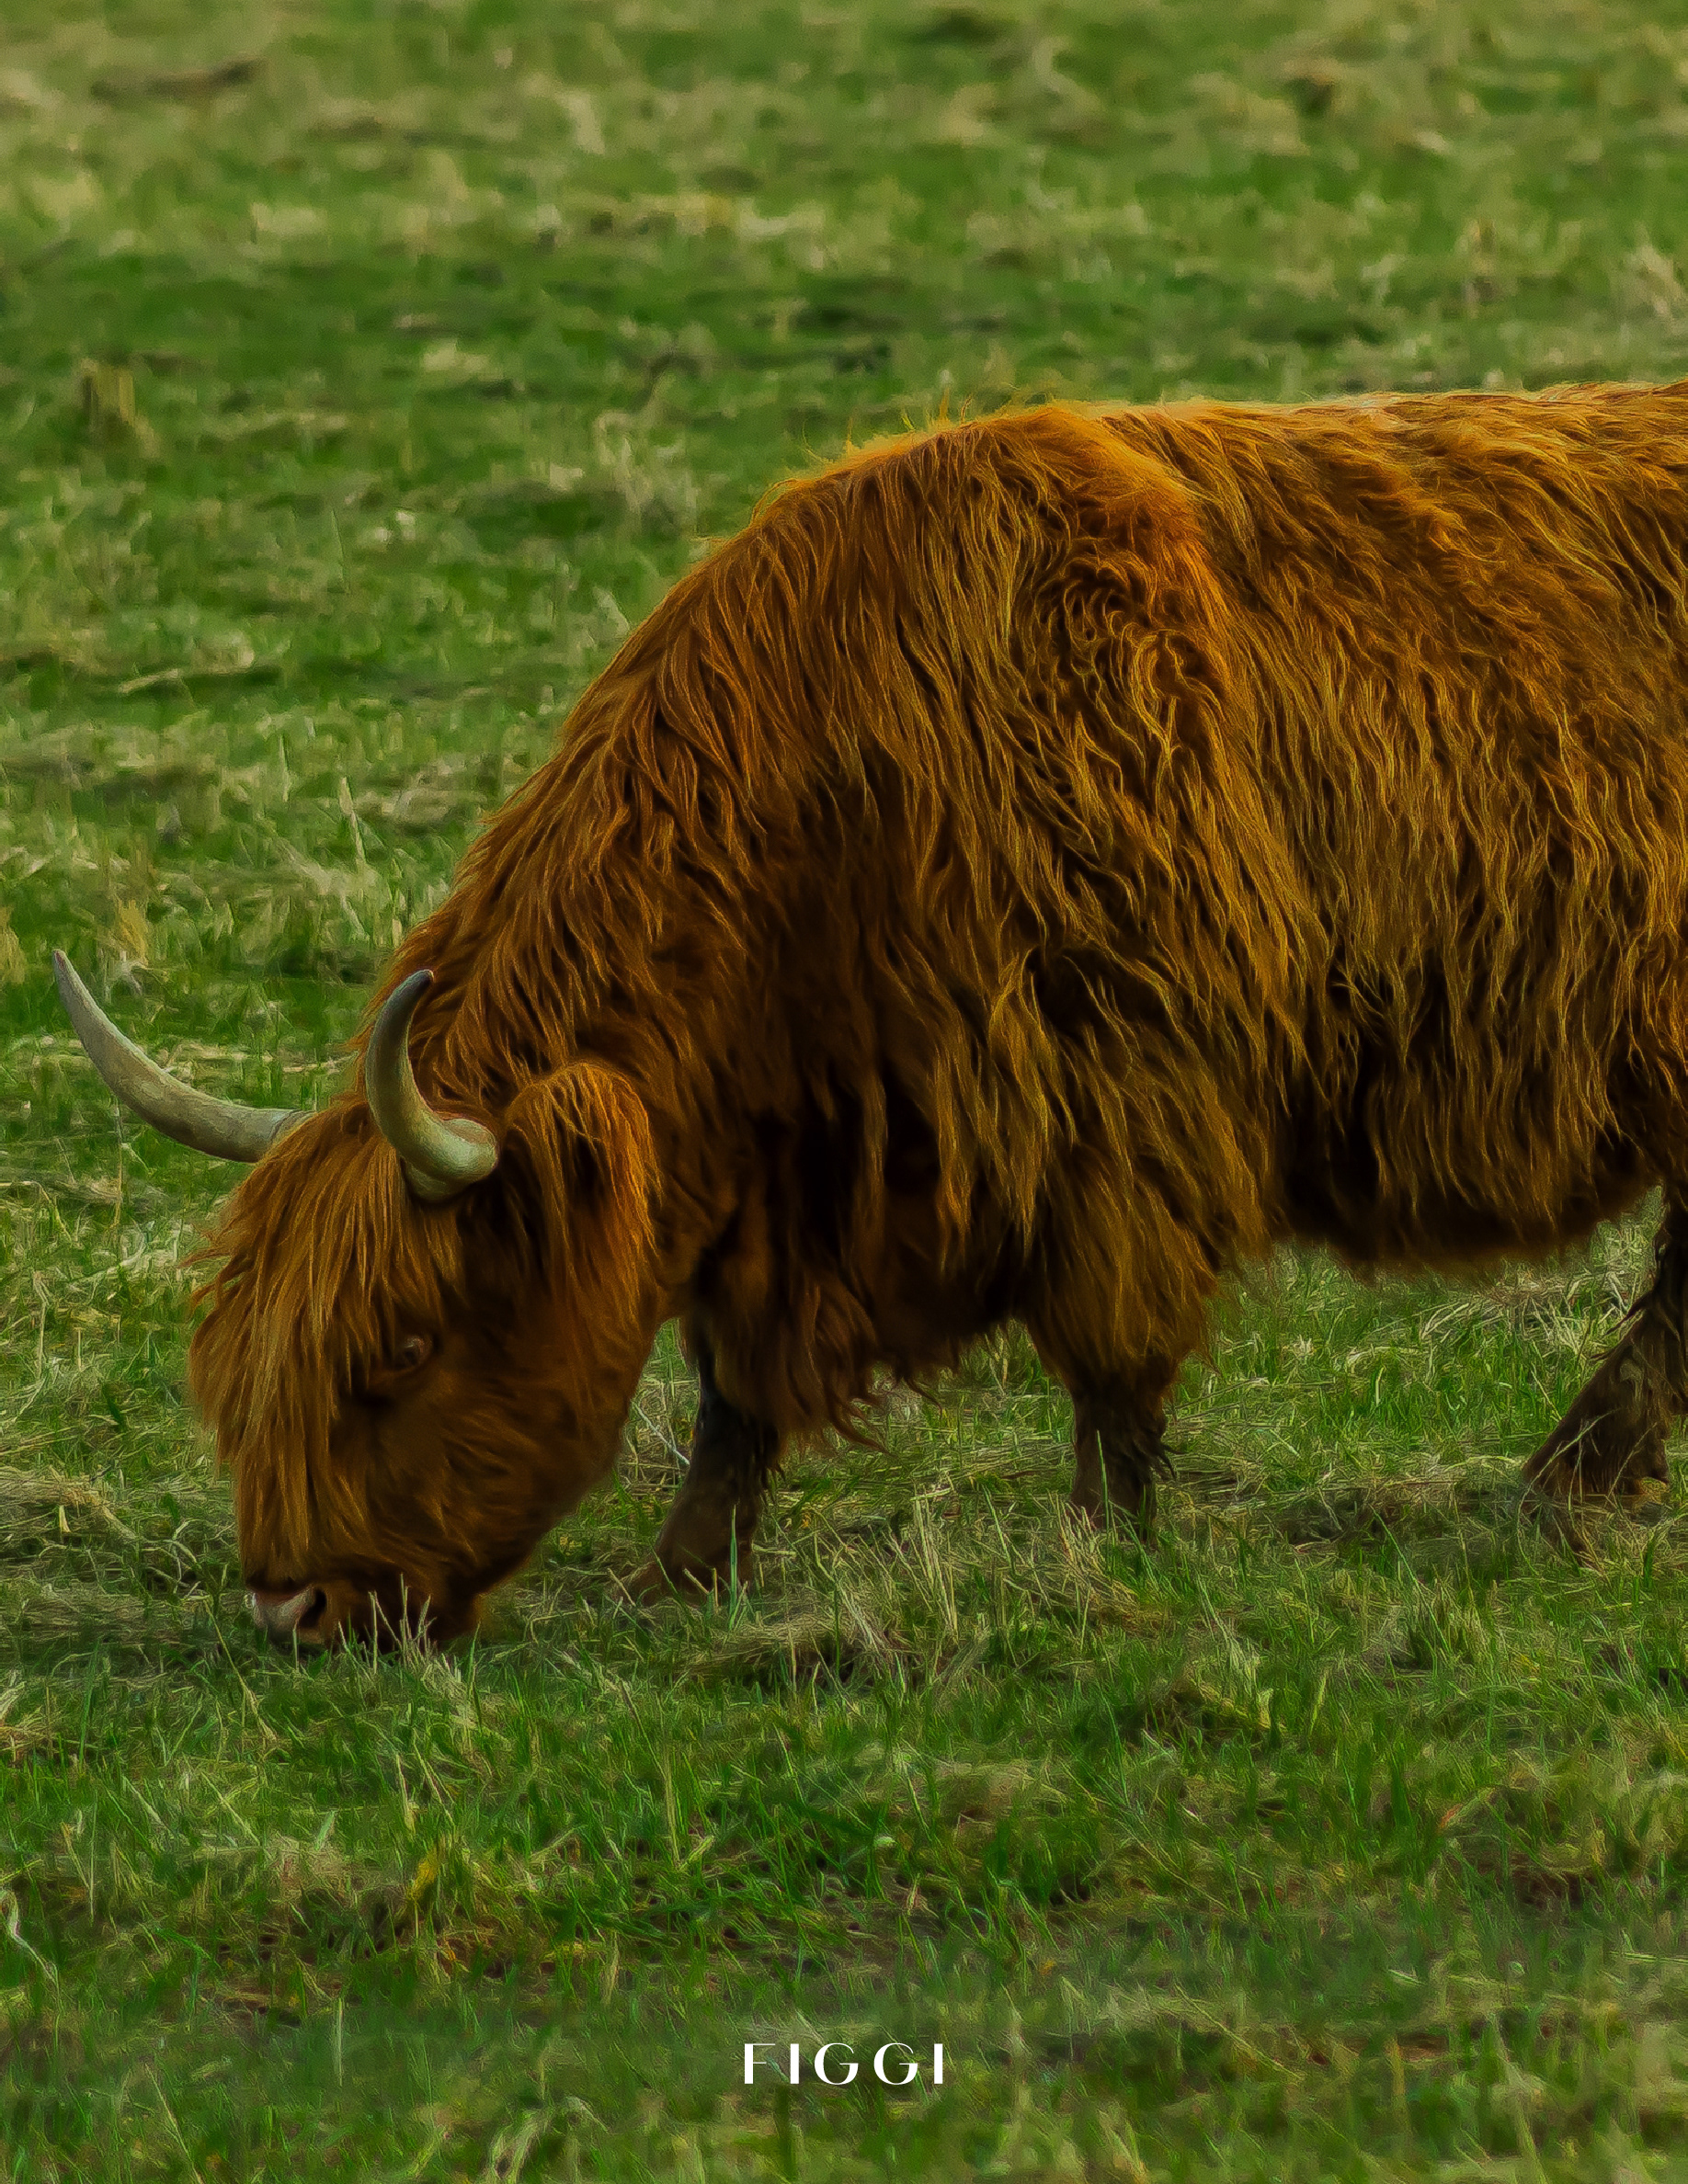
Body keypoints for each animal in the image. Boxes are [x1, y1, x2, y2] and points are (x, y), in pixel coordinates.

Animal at [53, 383, 1688, 1649]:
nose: (294, 1608)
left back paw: (1569, 1482)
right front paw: (679, 1577)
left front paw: (1104, 1552)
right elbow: (732, 1388)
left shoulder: (1127, 1106)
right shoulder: (783, 1164)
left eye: (397, 1349)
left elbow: (1112, 1360)